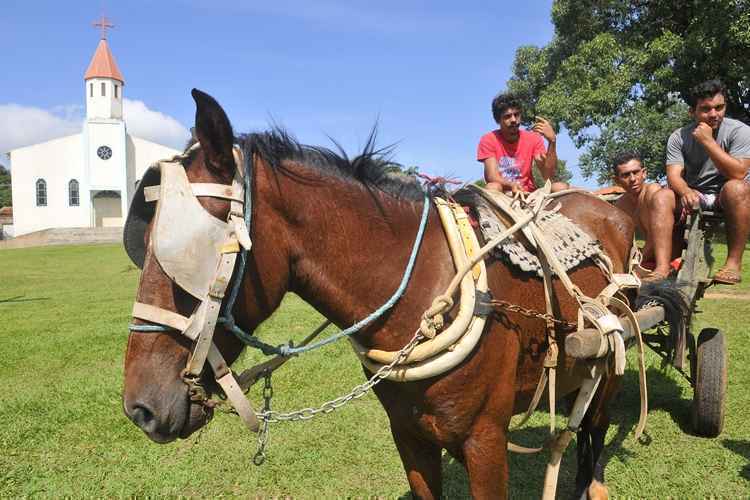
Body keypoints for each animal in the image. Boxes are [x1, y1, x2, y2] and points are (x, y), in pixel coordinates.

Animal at [123, 88, 640, 498]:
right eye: (140, 247)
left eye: (190, 251)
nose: (139, 408)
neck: (424, 292)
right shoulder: (409, 437)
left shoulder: (486, 442)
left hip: (610, 362)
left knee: (593, 430)